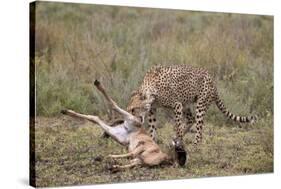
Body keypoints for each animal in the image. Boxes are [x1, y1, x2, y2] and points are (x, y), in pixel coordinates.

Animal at [126, 64, 256, 165]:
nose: (129, 119)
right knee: (190, 119)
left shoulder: (177, 105)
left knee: (198, 131)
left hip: (199, 105)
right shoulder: (153, 110)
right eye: (128, 109)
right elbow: (153, 129)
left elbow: (178, 127)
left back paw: (193, 146)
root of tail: (212, 79)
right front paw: (152, 144)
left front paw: (178, 146)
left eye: (133, 109)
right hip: (186, 105)